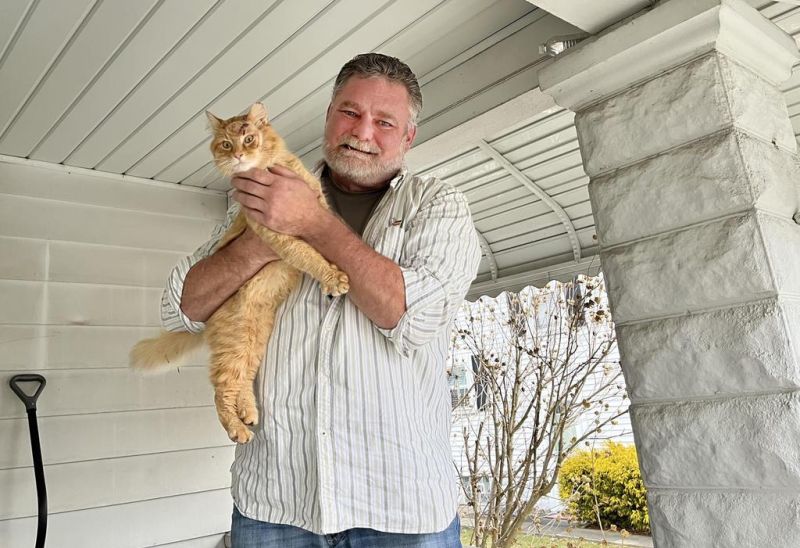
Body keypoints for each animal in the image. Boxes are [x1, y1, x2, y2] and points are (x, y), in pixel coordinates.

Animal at [130, 104, 348, 446]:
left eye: (248, 138)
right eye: (225, 144)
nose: (238, 156)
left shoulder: (316, 211)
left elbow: (326, 237)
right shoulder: (275, 235)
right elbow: (308, 256)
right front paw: (333, 278)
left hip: (252, 339)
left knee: (241, 380)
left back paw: (248, 413)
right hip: (237, 340)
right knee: (222, 388)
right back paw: (238, 430)